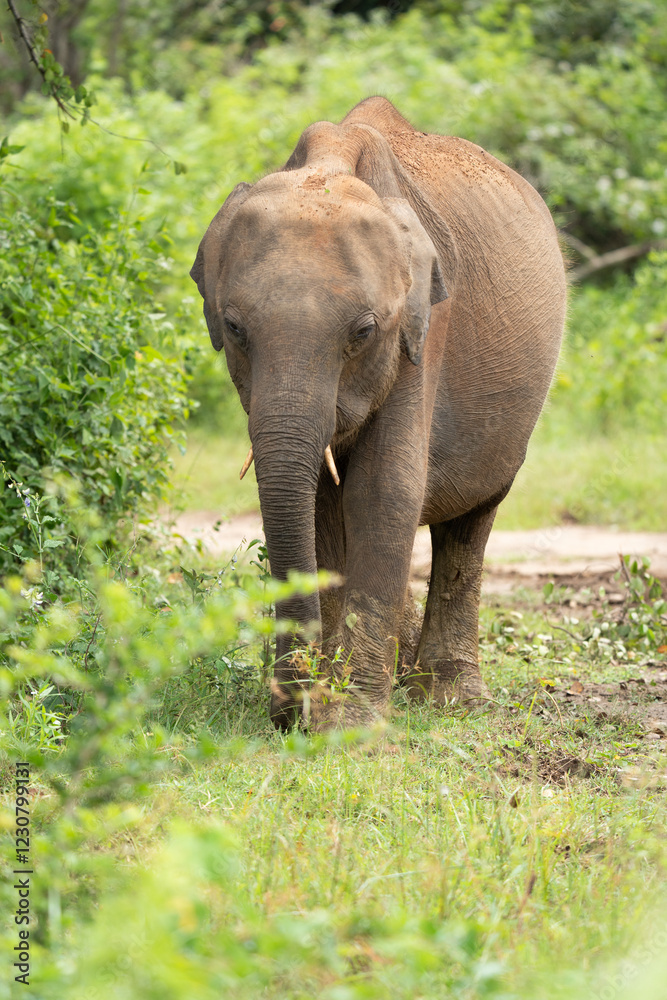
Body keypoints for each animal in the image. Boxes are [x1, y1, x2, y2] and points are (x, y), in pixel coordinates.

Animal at [191, 96, 566, 730]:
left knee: (472, 521)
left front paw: (353, 723)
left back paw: (450, 699)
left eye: (363, 332)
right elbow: (321, 501)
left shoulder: (422, 332)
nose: (288, 714)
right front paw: (325, 707)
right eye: (235, 328)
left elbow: (383, 490)